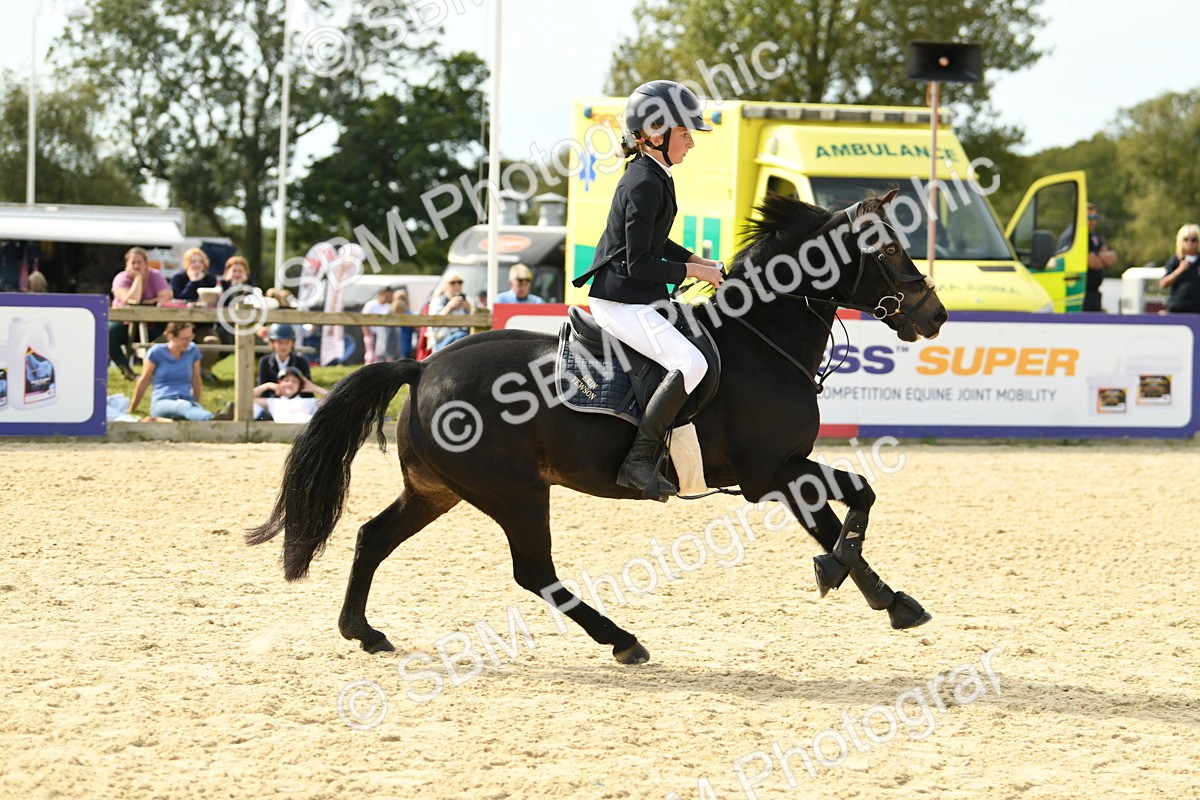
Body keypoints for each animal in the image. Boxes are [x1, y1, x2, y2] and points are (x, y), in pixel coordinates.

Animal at [248, 190, 948, 664]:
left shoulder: (785, 470)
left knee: (373, 537)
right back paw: (623, 640)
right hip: (515, 492)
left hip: (437, 490)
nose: (935, 314)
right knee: (533, 572)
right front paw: (844, 577)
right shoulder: (771, 473)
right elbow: (851, 504)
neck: (762, 338)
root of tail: (424, 366)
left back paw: (362, 632)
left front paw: (886, 599)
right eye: (888, 249)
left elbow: (852, 505)